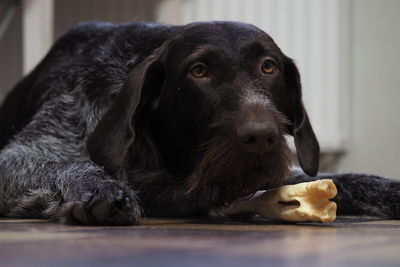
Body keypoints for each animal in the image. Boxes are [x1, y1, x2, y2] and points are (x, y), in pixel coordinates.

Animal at [0, 22, 400, 225]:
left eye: (268, 67)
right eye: (199, 71)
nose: (262, 137)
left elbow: (344, 180)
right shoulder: (18, 159)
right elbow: (68, 164)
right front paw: (98, 187)